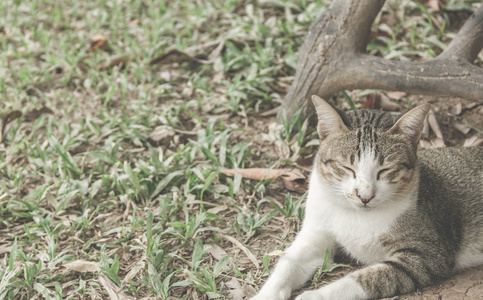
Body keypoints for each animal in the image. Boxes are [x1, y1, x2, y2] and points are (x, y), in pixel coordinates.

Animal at [251, 96, 483, 300]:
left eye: (385, 170)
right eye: (347, 168)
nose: (365, 196)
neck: (356, 214)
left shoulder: (428, 255)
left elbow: (366, 278)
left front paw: (315, 295)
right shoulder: (314, 236)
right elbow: (287, 263)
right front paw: (265, 294)